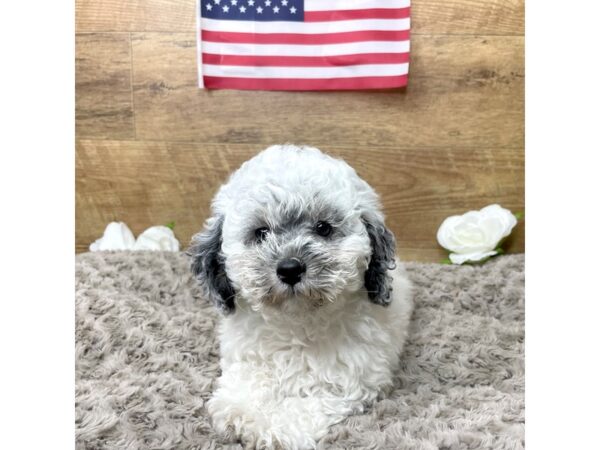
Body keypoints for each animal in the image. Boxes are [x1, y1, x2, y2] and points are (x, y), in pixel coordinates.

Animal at [189, 146, 412, 448]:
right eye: (261, 233)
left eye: (323, 228)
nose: (290, 268)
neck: (296, 322)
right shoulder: (248, 356)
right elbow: (248, 380)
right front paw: (241, 411)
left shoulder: (345, 382)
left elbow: (305, 404)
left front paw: (273, 428)